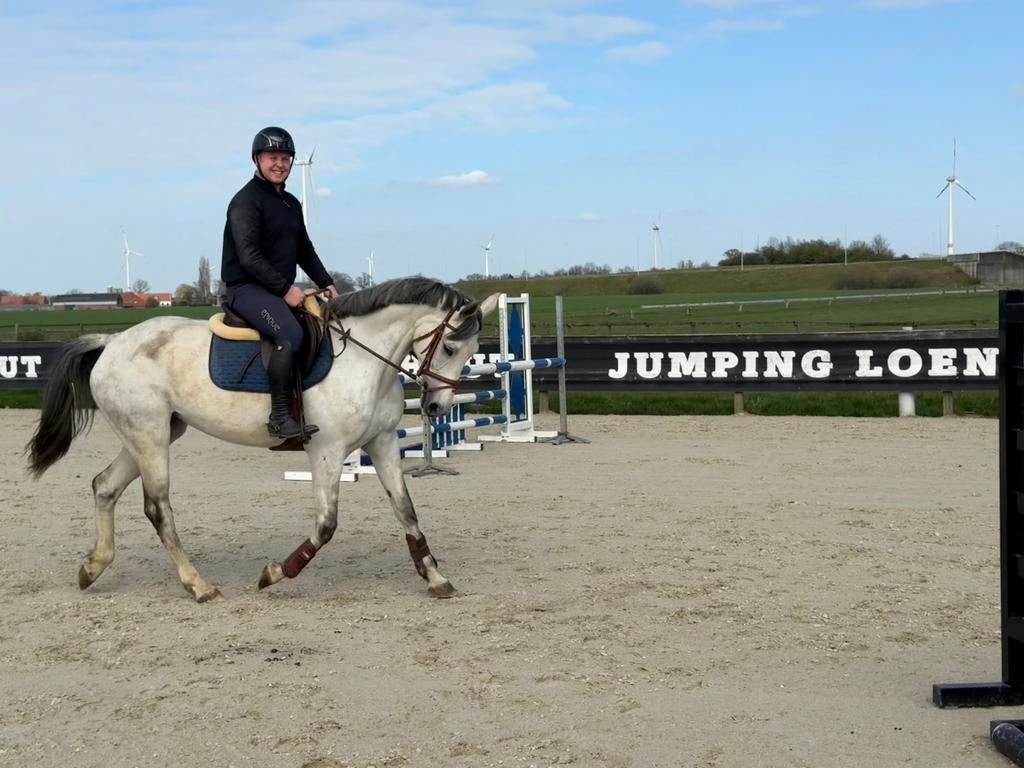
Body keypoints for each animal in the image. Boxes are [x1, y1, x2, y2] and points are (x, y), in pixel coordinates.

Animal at [26, 277, 499, 602]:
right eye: (451, 348)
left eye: (471, 349)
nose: (436, 407)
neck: (366, 361)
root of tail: (111, 342)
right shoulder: (327, 453)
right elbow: (325, 525)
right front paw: (274, 573)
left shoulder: (382, 444)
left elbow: (407, 512)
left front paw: (436, 578)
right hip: (151, 438)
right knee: (157, 509)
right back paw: (197, 585)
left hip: (150, 435)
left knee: (104, 487)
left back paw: (93, 567)